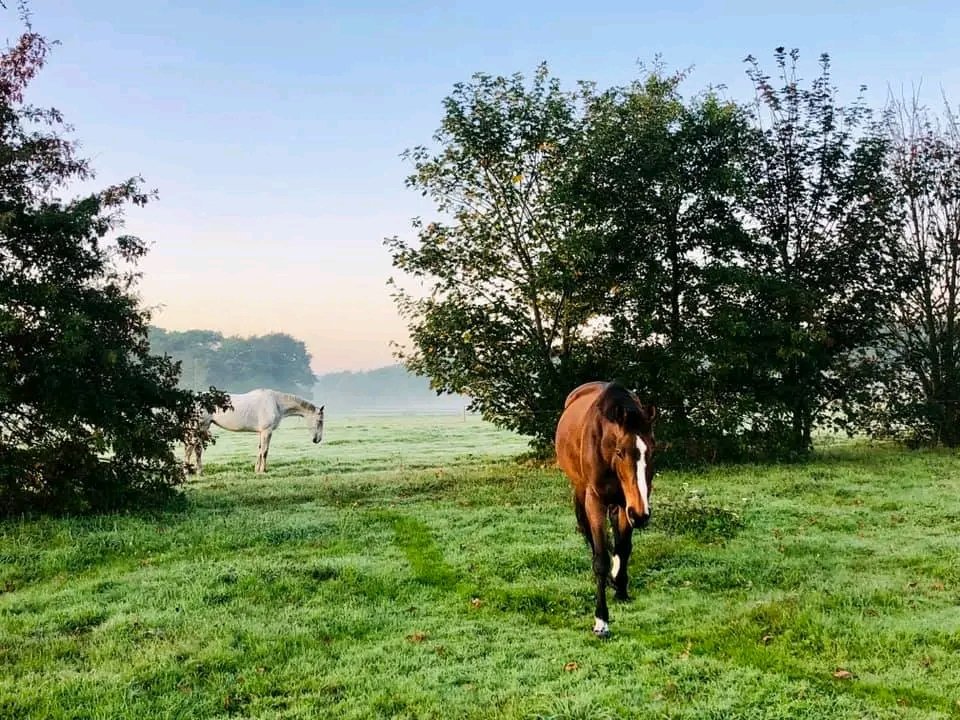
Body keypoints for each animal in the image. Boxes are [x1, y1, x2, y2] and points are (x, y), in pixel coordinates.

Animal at [185, 388, 324, 475]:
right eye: (319, 421)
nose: (317, 439)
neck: (276, 402)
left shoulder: (261, 432)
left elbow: (260, 450)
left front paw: (256, 470)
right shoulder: (267, 431)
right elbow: (265, 451)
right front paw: (263, 470)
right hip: (200, 428)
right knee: (193, 450)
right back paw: (194, 472)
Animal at [555, 380, 657, 638]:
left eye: (651, 451)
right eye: (620, 452)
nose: (641, 516)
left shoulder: (626, 504)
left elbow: (624, 547)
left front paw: (621, 588)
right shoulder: (596, 501)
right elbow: (600, 559)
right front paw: (601, 621)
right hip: (580, 491)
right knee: (589, 535)